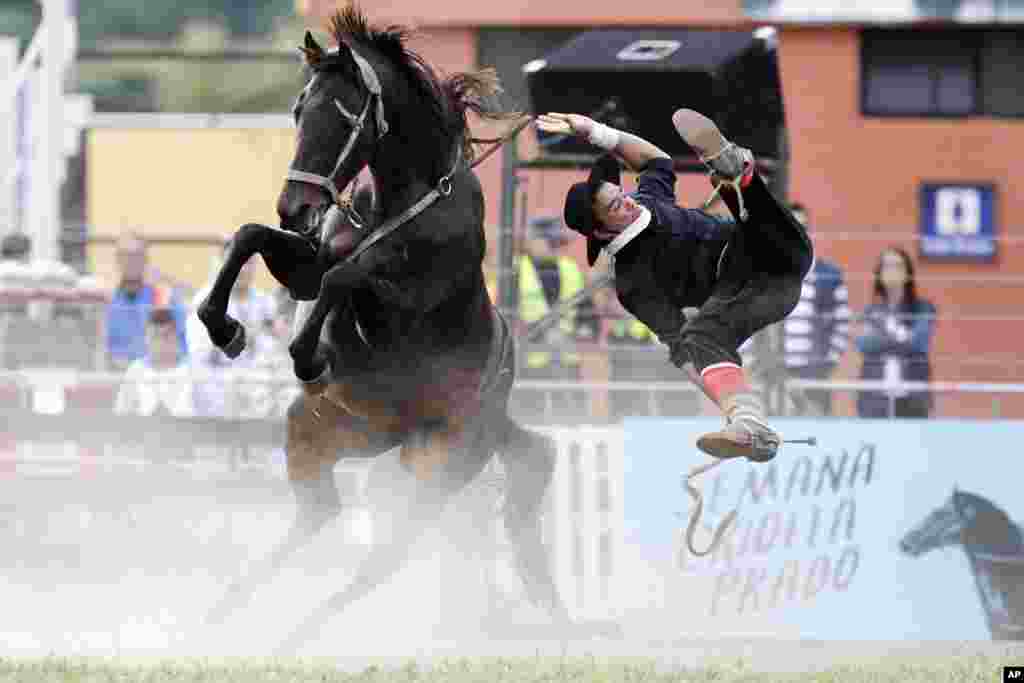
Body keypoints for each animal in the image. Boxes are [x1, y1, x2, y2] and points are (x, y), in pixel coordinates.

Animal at [194, 9, 569, 651]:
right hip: (321, 437)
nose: (295, 206)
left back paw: (297, 632)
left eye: (345, 114)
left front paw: (306, 355)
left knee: (383, 559)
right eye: (299, 108)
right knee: (318, 516)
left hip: (437, 470)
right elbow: (254, 238)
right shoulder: (305, 262)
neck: (404, 201)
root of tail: (499, 421)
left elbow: (347, 274)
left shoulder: (408, 297)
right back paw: (225, 613)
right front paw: (224, 329)